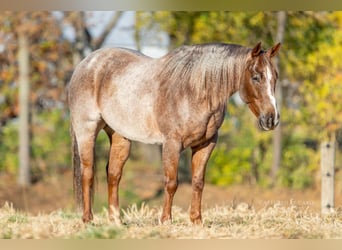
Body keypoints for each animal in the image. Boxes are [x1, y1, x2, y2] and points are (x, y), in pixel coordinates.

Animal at [67, 41, 280, 225]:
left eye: (275, 77)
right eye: (256, 77)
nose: (272, 119)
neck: (194, 91)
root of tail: (86, 63)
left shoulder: (206, 144)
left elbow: (198, 182)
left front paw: (196, 220)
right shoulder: (172, 144)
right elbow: (171, 183)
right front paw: (165, 220)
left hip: (120, 136)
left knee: (113, 174)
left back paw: (115, 221)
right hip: (87, 131)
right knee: (88, 173)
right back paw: (87, 219)